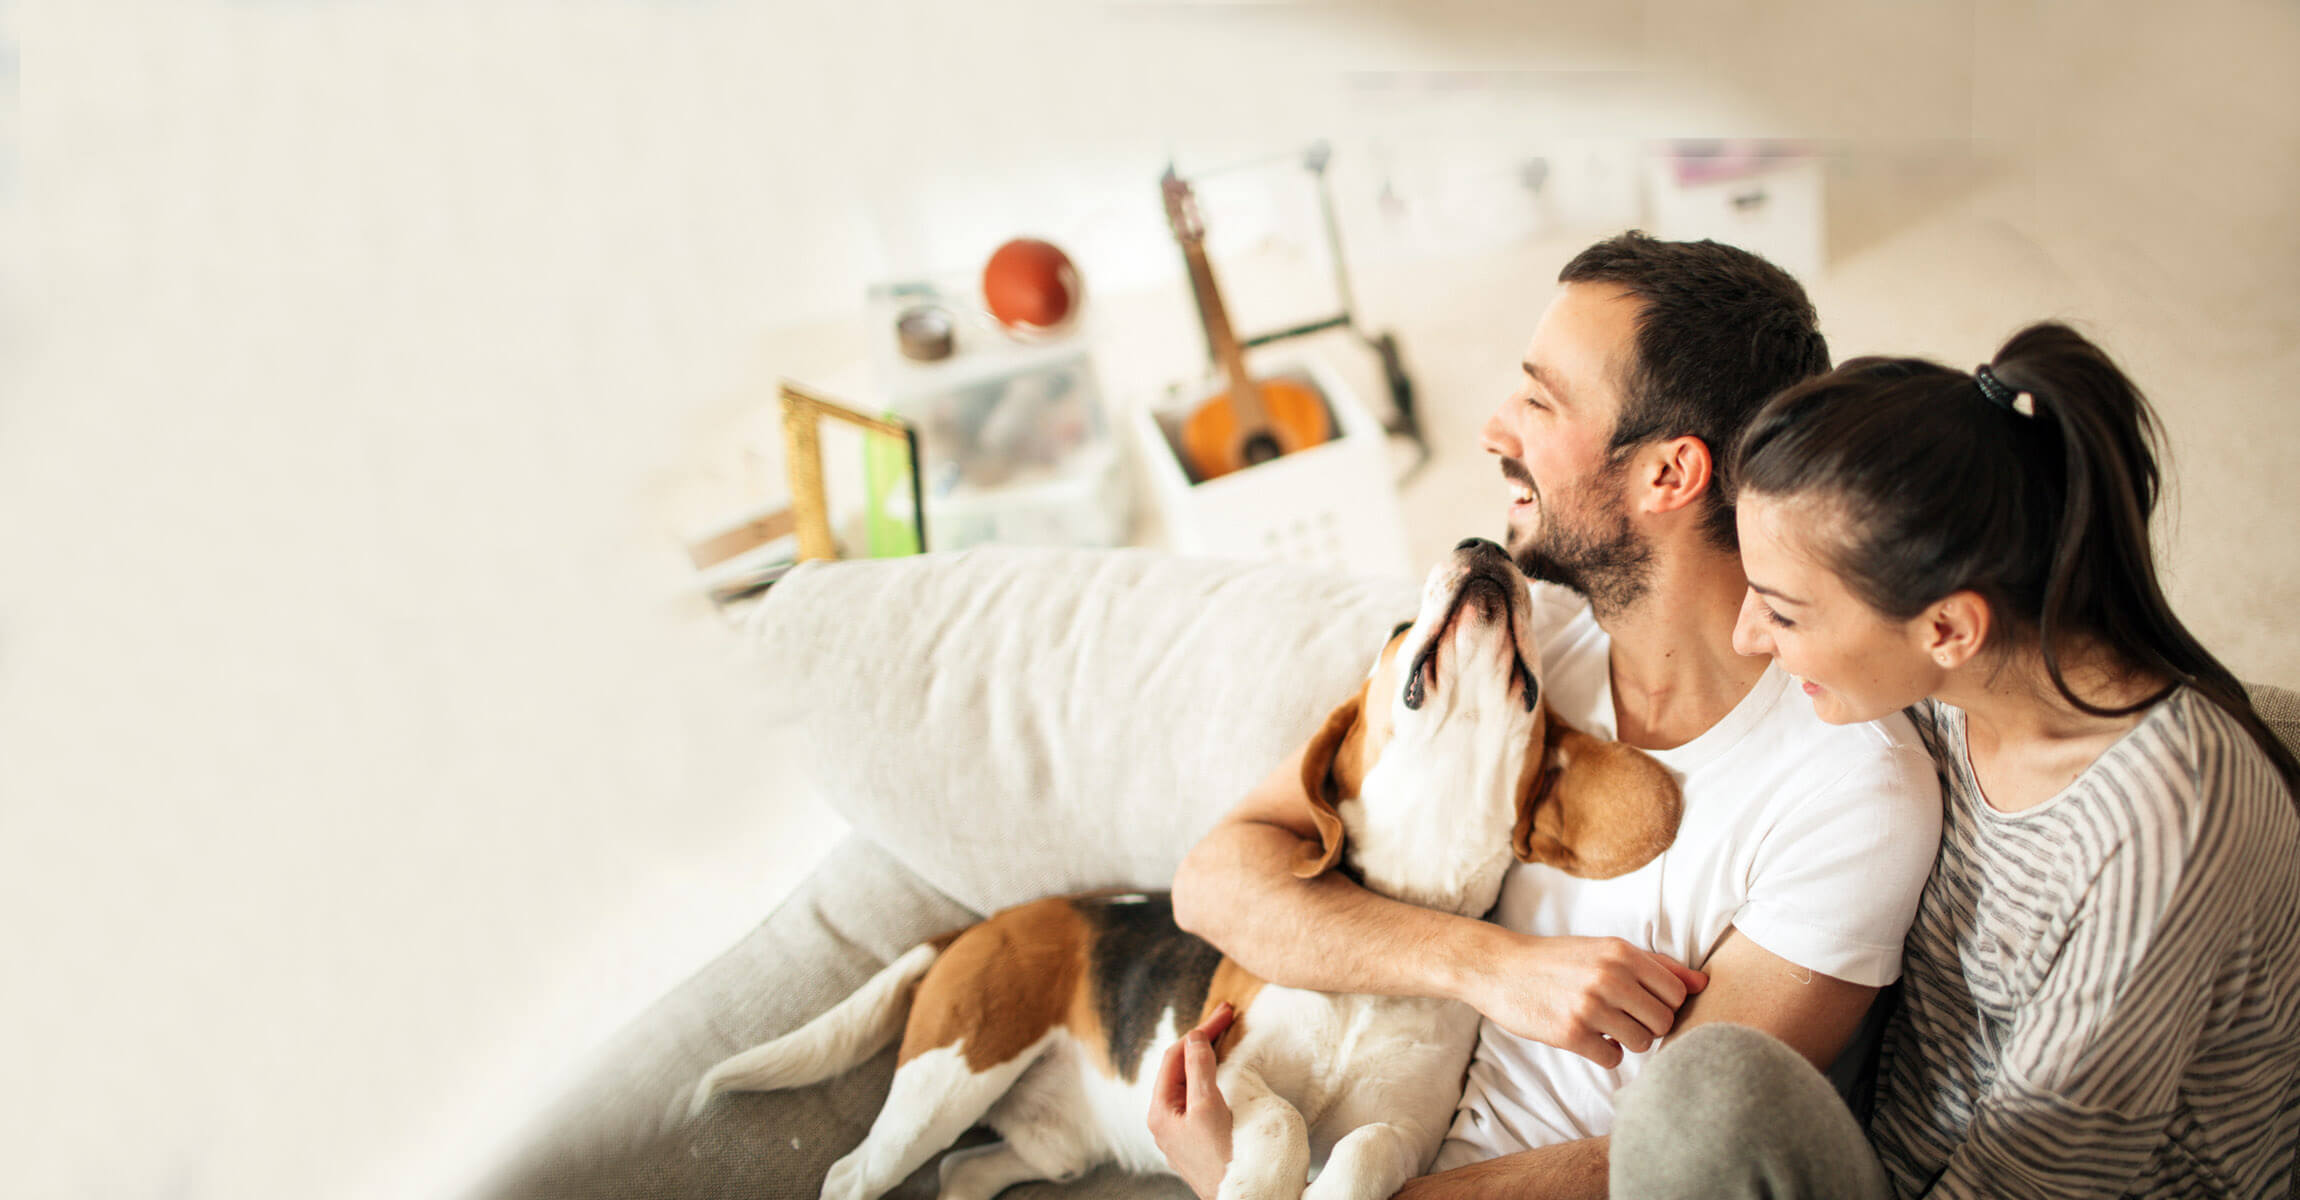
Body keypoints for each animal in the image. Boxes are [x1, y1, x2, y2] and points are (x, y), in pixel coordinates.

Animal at [690, 540, 1683, 1195]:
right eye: (1401, 628)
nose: (1484, 545)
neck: (1395, 927)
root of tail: (985, 924)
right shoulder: (1218, 1061)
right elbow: (1281, 1120)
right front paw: (1259, 1183)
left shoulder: (1403, 1130)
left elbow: (1357, 1151)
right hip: (952, 1073)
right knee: (855, 1174)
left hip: (1045, 1144)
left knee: (966, 1175)